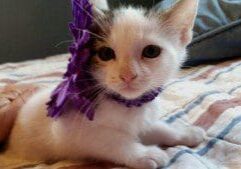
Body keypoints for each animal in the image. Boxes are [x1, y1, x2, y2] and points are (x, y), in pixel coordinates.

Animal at [0, 0, 204, 168]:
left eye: (151, 51)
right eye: (105, 54)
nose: (127, 75)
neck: (127, 106)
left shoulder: (142, 118)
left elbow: (156, 127)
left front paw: (185, 133)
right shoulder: (66, 129)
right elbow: (111, 139)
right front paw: (145, 153)